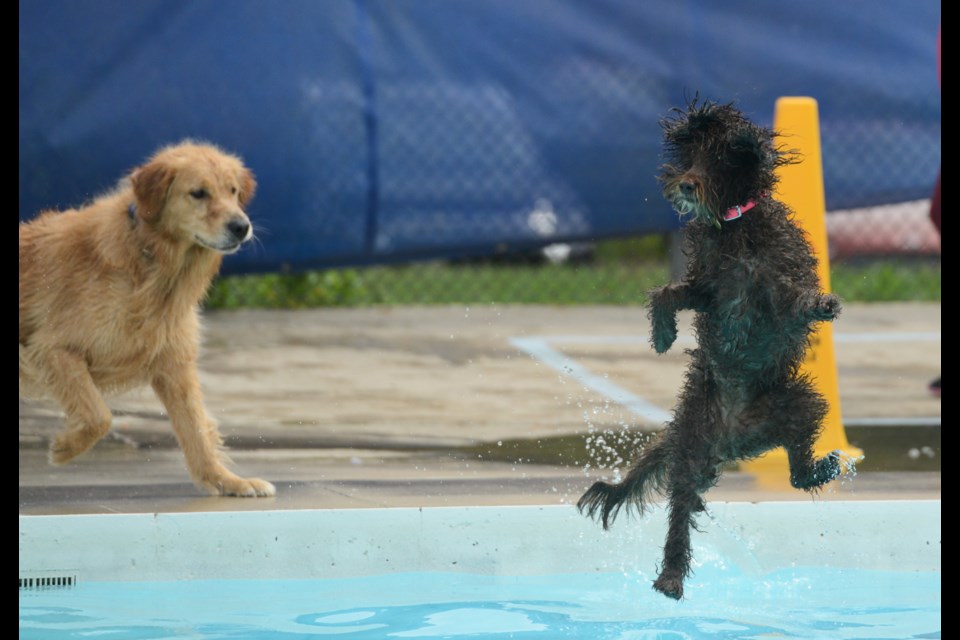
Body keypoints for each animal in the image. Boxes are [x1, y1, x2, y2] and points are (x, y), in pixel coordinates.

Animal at [18, 141, 276, 496]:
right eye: (198, 193)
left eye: (233, 191)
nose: (242, 226)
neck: (150, 261)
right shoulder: (52, 349)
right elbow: (100, 416)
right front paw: (65, 448)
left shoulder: (175, 365)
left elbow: (197, 434)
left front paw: (228, 481)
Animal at [576, 99, 840, 600]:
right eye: (692, 155)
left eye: (719, 157)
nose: (685, 183)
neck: (735, 226)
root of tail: (732, 439)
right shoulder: (707, 287)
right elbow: (667, 294)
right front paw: (662, 336)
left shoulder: (775, 281)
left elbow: (794, 300)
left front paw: (822, 305)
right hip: (690, 446)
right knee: (680, 513)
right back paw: (670, 577)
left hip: (798, 404)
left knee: (798, 470)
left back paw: (824, 468)